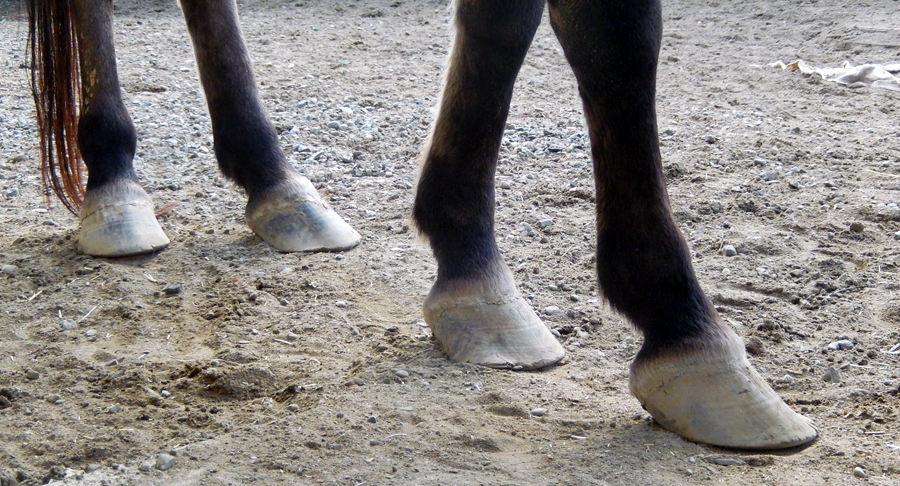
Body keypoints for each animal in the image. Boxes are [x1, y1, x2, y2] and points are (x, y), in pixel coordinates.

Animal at [26, 0, 816, 452]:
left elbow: (517, 21)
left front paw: (471, 267)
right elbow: (611, 29)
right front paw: (684, 327)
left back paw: (275, 179)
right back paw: (114, 180)